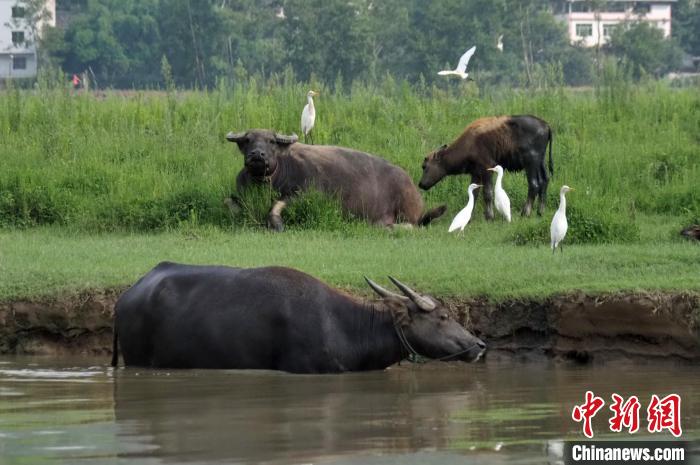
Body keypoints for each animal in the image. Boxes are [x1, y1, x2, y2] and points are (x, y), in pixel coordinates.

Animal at [227, 129, 446, 230]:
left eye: (271, 141)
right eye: (247, 140)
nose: (257, 154)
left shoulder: (303, 194)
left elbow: (276, 205)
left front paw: (277, 224)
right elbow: (228, 202)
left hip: (406, 214)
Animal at [418, 115, 556, 218]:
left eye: (424, 166)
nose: (420, 184)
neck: (470, 144)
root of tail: (546, 125)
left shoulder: (486, 170)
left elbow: (487, 193)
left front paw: (490, 216)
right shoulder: (475, 173)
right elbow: (474, 194)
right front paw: (469, 217)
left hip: (530, 164)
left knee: (534, 184)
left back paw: (525, 213)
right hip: (540, 163)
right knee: (545, 181)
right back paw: (540, 212)